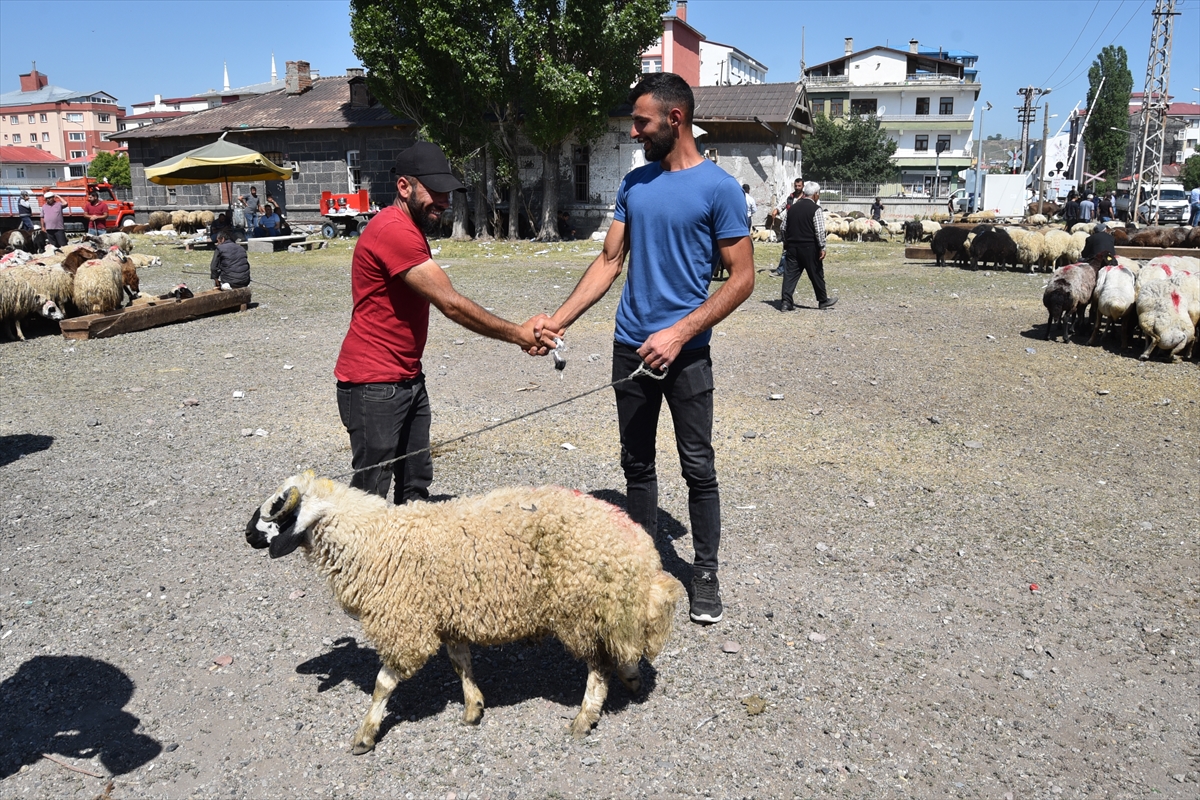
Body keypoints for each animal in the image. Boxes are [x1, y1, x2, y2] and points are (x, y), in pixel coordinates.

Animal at [246, 472, 686, 753]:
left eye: (277, 510)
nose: (247, 535)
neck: (373, 540)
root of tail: (640, 550)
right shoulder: (449, 614)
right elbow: (461, 663)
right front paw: (474, 708)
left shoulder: (406, 626)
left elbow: (383, 684)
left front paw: (365, 735)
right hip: (602, 609)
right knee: (619, 650)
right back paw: (632, 679)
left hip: (581, 608)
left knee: (599, 665)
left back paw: (584, 717)